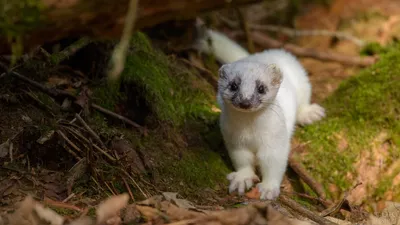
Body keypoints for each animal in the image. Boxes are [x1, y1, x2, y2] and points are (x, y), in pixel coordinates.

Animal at [195, 29, 326, 200]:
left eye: (261, 88)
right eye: (233, 85)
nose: (245, 101)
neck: (250, 132)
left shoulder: (275, 140)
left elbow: (273, 162)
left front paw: (269, 189)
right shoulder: (234, 140)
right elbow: (242, 159)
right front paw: (241, 179)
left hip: (302, 82)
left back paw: (310, 113)